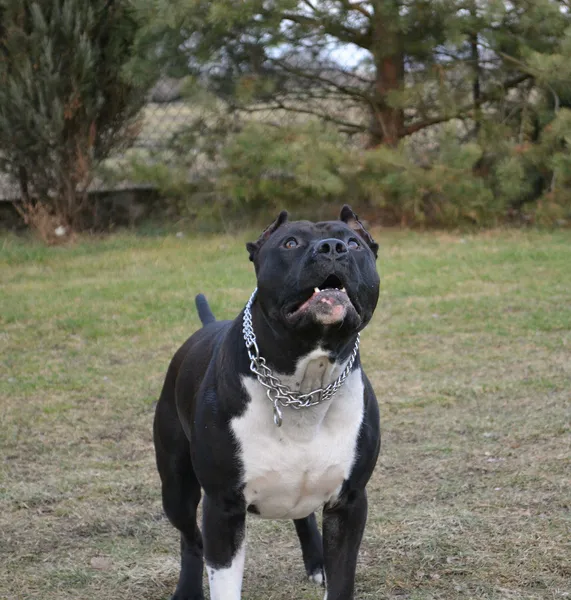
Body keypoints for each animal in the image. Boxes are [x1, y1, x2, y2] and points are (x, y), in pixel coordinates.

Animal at [154, 206, 382, 600]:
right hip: (176, 487)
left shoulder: (349, 502)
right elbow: (223, 583)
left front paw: (328, 568)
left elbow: (342, 581)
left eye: (354, 243)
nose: (333, 247)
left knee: (302, 515)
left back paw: (317, 561)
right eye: (290, 243)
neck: (304, 386)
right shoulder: (223, 508)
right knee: (190, 537)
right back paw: (187, 590)